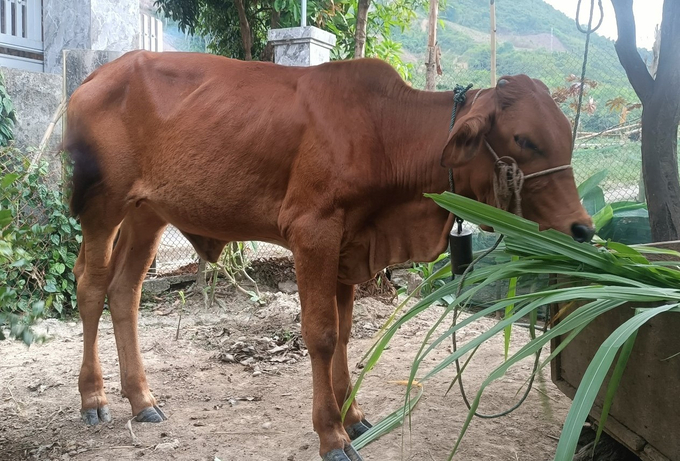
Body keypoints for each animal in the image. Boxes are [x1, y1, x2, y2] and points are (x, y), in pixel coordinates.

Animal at [66, 50, 592, 460]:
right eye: (524, 139)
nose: (582, 228)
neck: (384, 131)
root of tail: (95, 76)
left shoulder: (350, 244)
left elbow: (344, 334)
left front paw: (353, 415)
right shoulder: (312, 232)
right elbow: (320, 334)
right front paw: (332, 435)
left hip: (147, 214)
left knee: (125, 293)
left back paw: (141, 400)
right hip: (103, 207)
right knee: (91, 286)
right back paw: (93, 399)